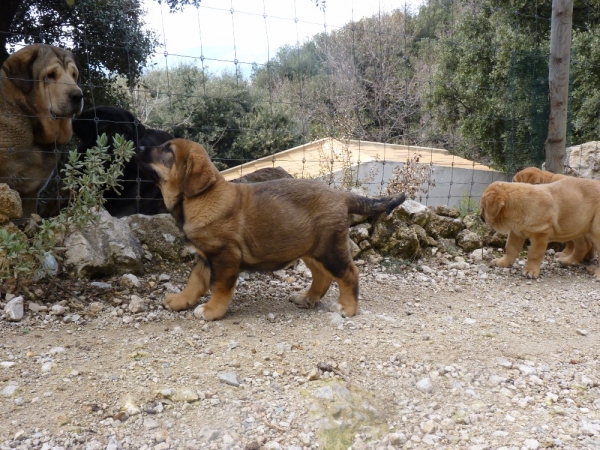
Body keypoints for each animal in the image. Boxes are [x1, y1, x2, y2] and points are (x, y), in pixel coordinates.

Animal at [138, 140, 406, 320]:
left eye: (168, 151)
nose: (139, 147)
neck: (198, 198)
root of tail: (341, 195)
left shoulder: (225, 256)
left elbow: (220, 288)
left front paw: (212, 311)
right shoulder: (206, 257)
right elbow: (194, 282)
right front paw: (180, 301)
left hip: (329, 249)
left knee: (349, 274)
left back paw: (347, 309)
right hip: (311, 250)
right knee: (323, 276)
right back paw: (307, 298)